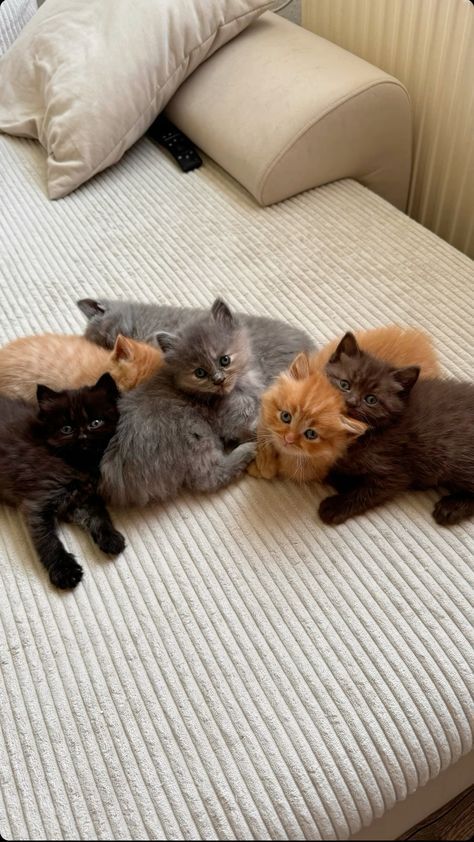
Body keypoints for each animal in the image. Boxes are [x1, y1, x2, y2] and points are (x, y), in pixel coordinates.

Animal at [0, 374, 125, 592]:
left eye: (95, 422)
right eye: (66, 429)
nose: (82, 436)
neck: (77, 464)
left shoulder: (81, 499)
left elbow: (99, 516)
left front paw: (110, 538)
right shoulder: (39, 502)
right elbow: (49, 541)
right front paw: (64, 571)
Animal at [318, 334, 474, 524]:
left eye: (371, 399)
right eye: (344, 384)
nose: (351, 402)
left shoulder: (394, 470)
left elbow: (365, 492)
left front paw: (335, 506)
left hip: (456, 458)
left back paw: (451, 508)